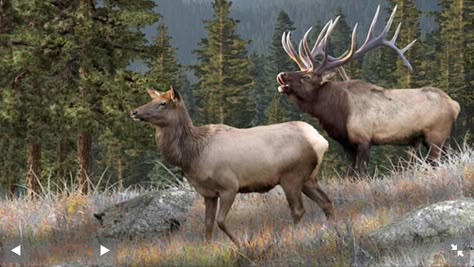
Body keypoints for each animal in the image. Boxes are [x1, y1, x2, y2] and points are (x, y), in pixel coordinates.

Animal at [130, 87, 334, 246]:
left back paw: (289, 236)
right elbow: (208, 223)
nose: (134, 112)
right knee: (326, 200)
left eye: (163, 103)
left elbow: (220, 221)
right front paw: (207, 247)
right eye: (152, 99)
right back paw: (332, 229)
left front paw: (241, 243)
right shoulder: (208, 193)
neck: (192, 155)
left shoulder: (229, 186)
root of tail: (321, 142)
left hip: (291, 176)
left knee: (298, 210)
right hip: (308, 178)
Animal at [278, 5, 460, 177]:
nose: (282, 75)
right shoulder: (347, 145)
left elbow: (362, 173)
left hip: (436, 135)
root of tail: (455, 105)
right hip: (440, 140)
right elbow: (349, 175)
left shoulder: (364, 139)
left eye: (306, 77)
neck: (338, 112)